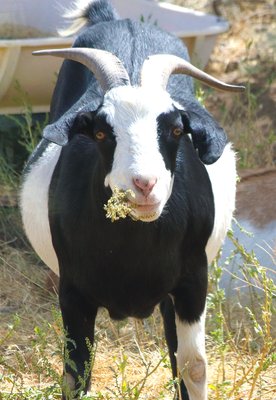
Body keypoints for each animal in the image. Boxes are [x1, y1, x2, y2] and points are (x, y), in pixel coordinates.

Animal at [20, 1, 244, 398]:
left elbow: (193, 366)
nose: (144, 184)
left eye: (176, 130)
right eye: (100, 132)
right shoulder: (72, 290)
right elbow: (76, 372)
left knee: (176, 352)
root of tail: (115, 19)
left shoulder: (193, 282)